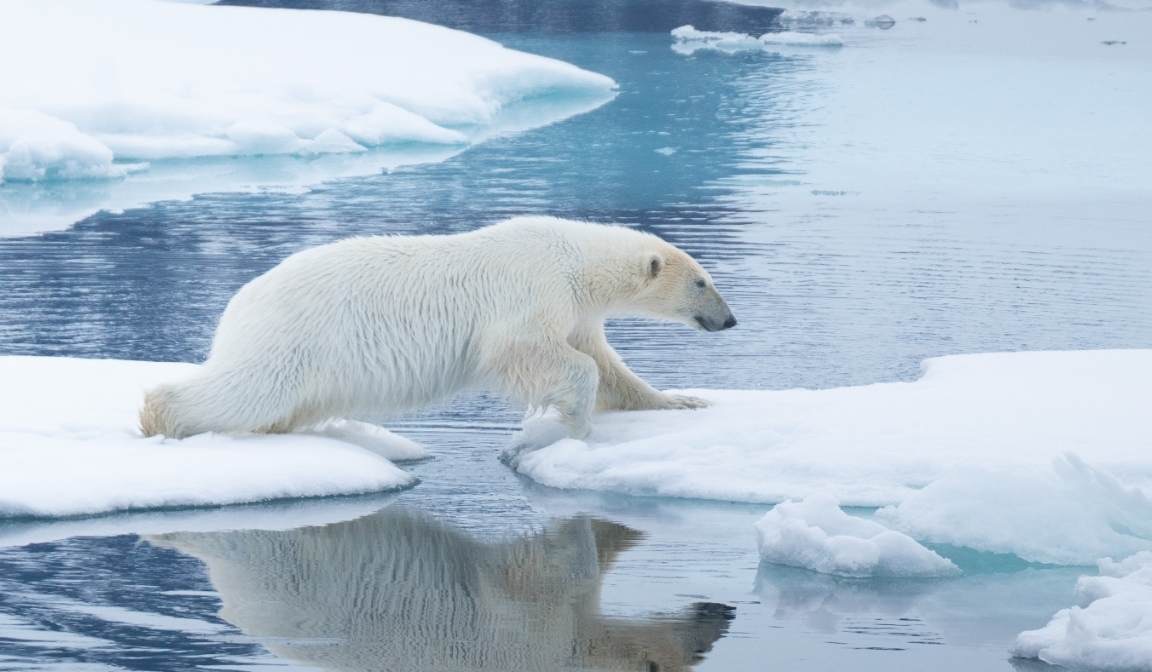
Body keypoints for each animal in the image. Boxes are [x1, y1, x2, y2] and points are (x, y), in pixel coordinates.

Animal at [139, 216, 736, 440]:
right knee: (249, 388)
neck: (576, 259)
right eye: (702, 282)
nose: (729, 319)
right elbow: (529, 352)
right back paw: (158, 416)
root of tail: (240, 301)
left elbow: (610, 366)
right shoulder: (532, 290)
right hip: (296, 337)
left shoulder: (575, 310)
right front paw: (576, 424)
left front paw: (682, 401)